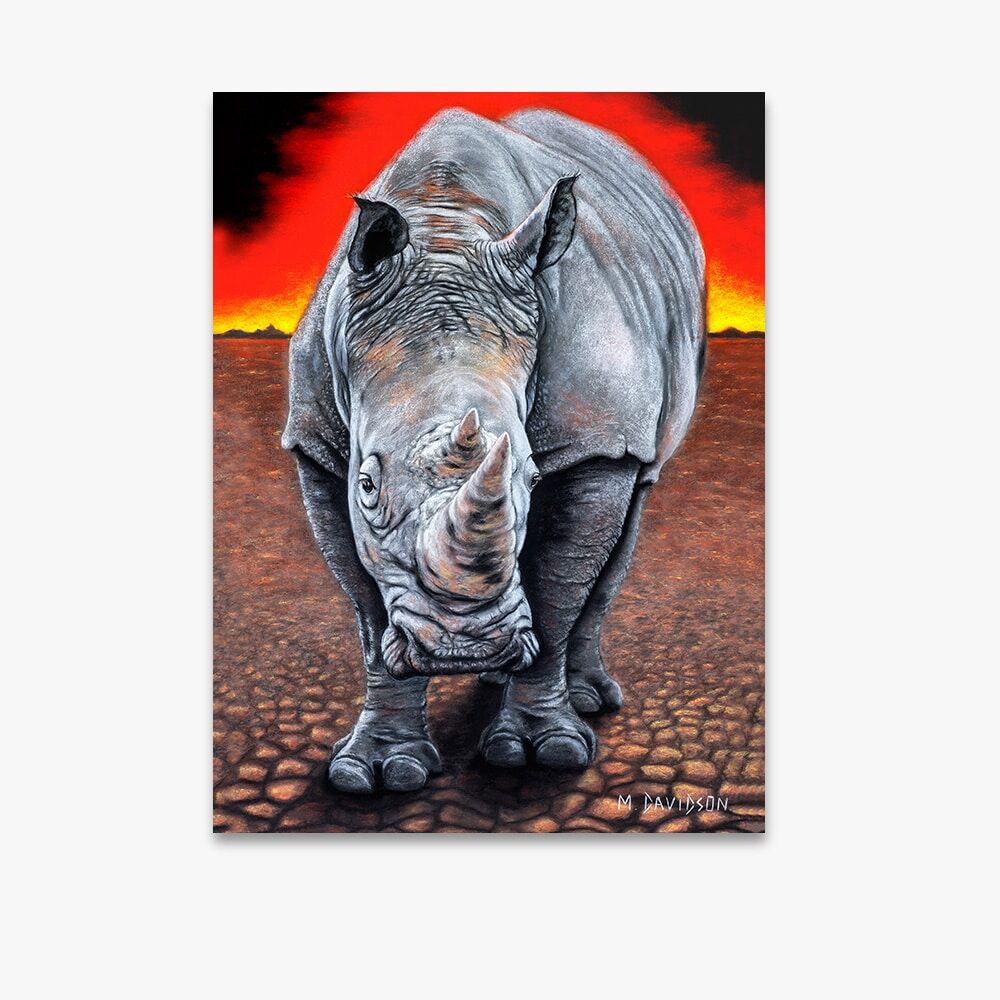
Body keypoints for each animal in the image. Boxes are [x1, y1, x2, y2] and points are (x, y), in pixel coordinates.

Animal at [283, 107, 705, 793]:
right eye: (366, 485)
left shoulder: (596, 440)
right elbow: (367, 613)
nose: (463, 648)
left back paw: (585, 699)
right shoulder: (318, 445)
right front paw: (373, 771)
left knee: (632, 509)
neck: (447, 230)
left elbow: (560, 586)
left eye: (531, 476)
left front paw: (542, 752)